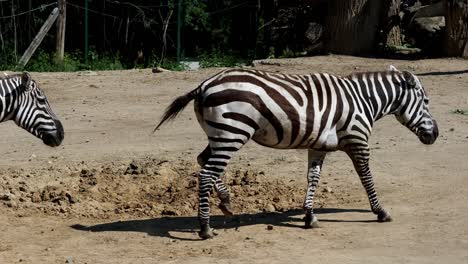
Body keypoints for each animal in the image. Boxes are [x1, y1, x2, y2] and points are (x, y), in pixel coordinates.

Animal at [154, 64, 438, 239]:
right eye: (425, 101)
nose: (435, 135)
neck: (363, 100)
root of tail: (204, 85)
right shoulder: (358, 140)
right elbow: (367, 178)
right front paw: (380, 212)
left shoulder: (317, 146)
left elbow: (313, 178)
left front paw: (310, 216)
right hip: (232, 133)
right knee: (206, 174)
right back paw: (205, 228)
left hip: (220, 134)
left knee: (204, 162)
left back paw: (225, 201)